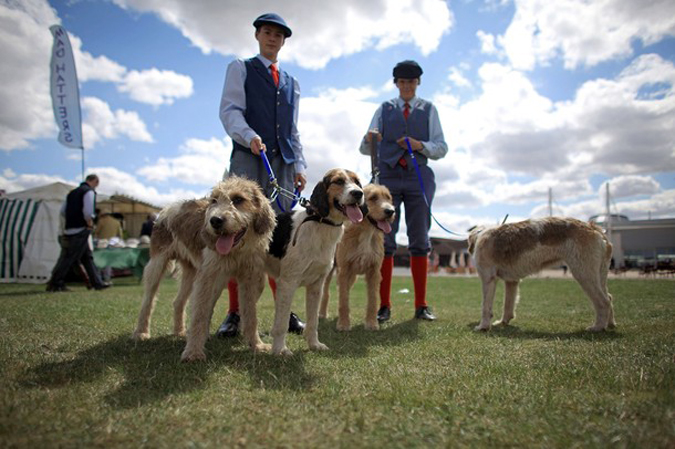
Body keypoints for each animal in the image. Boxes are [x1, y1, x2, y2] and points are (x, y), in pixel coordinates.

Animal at [468, 215, 616, 330]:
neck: (481, 235)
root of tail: (595, 228)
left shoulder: (488, 279)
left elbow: (485, 307)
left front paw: (483, 327)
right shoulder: (512, 282)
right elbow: (508, 305)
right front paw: (503, 322)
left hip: (584, 274)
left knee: (603, 302)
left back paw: (597, 327)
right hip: (599, 275)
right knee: (609, 297)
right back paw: (610, 324)